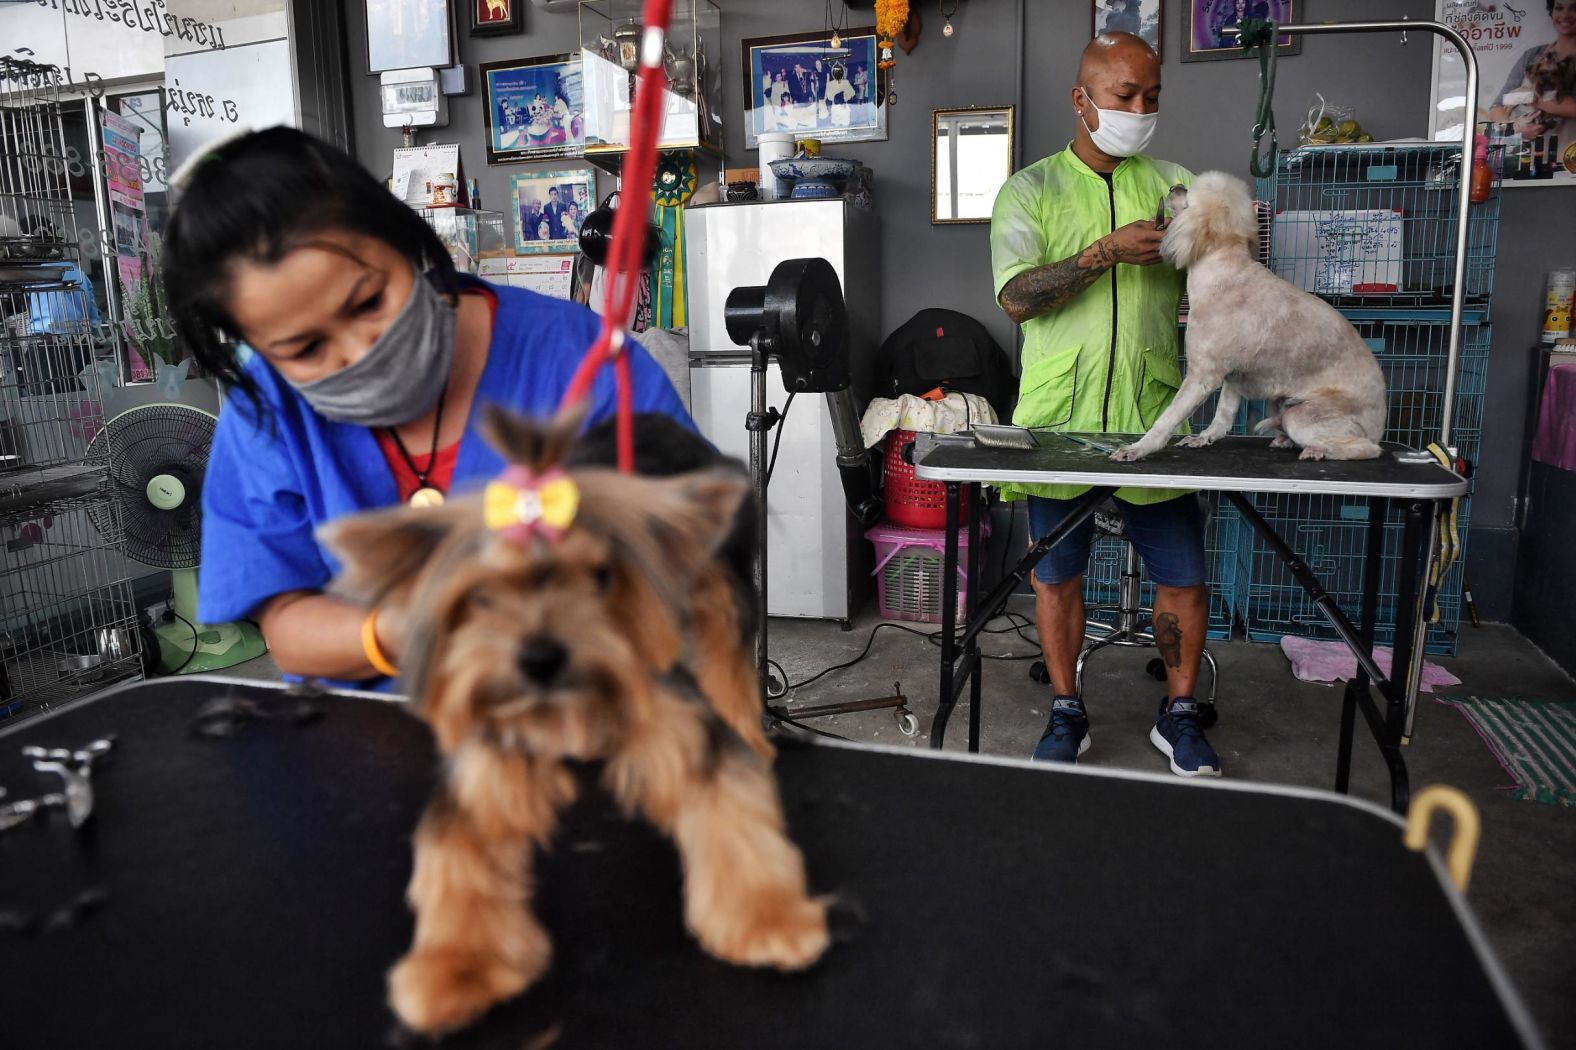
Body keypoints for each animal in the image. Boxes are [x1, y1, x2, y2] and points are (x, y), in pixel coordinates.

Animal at [324, 403, 832, 1027]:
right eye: (481, 596)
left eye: (600, 577)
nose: (541, 658)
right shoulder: (491, 749)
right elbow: (457, 853)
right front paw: (456, 966)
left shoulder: (673, 714)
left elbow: (733, 814)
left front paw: (770, 920)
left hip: (717, 577)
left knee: (728, 651)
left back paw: (750, 727)